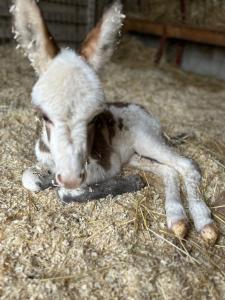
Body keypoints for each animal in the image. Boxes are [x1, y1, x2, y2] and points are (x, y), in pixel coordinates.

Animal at [12, 0, 218, 244]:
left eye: (94, 117)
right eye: (43, 115)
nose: (70, 177)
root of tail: (142, 110)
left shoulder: (104, 164)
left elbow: (67, 192)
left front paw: (129, 184)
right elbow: (29, 179)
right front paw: (45, 181)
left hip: (146, 140)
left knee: (188, 165)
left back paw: (204, 222)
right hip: (133, 155)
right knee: (168, 170)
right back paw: (177, 219)